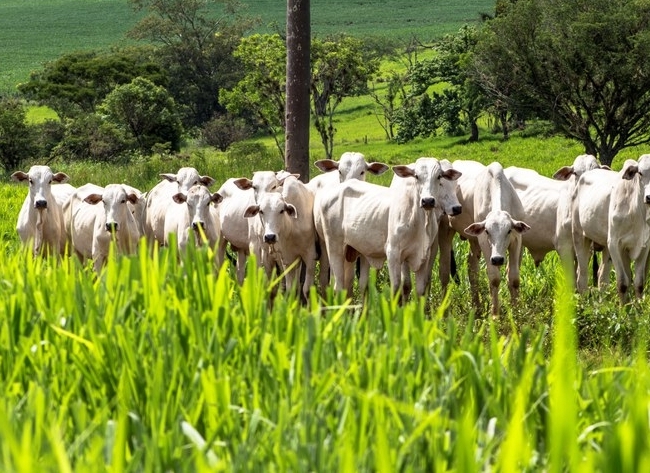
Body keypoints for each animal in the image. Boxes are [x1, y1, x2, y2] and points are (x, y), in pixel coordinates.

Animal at [316, 159, 460, 298]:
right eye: (416, 176)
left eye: (439, 176)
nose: (428, 201)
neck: (419, 221)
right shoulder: (393, 254)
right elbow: (396, 288)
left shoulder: (424, 256)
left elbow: (420, 290)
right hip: (334, 247)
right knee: (338, 286)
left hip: (354, 250)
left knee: (355, 285)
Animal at [464, 160, 528, 316]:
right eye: (487, 231)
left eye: (509, 230)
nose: (498, 259)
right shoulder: (483, 241)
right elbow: (494, 279)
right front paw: (495, 315)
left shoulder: (517, 240)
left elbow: (514, 278)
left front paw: (516, 312)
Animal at [604, 155, 648, 302]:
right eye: (640, 173)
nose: (649, 197)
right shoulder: (613, 244)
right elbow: (623, 283)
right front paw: (622, 308)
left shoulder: (645, 246)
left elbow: (639, 283)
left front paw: (639, 306)